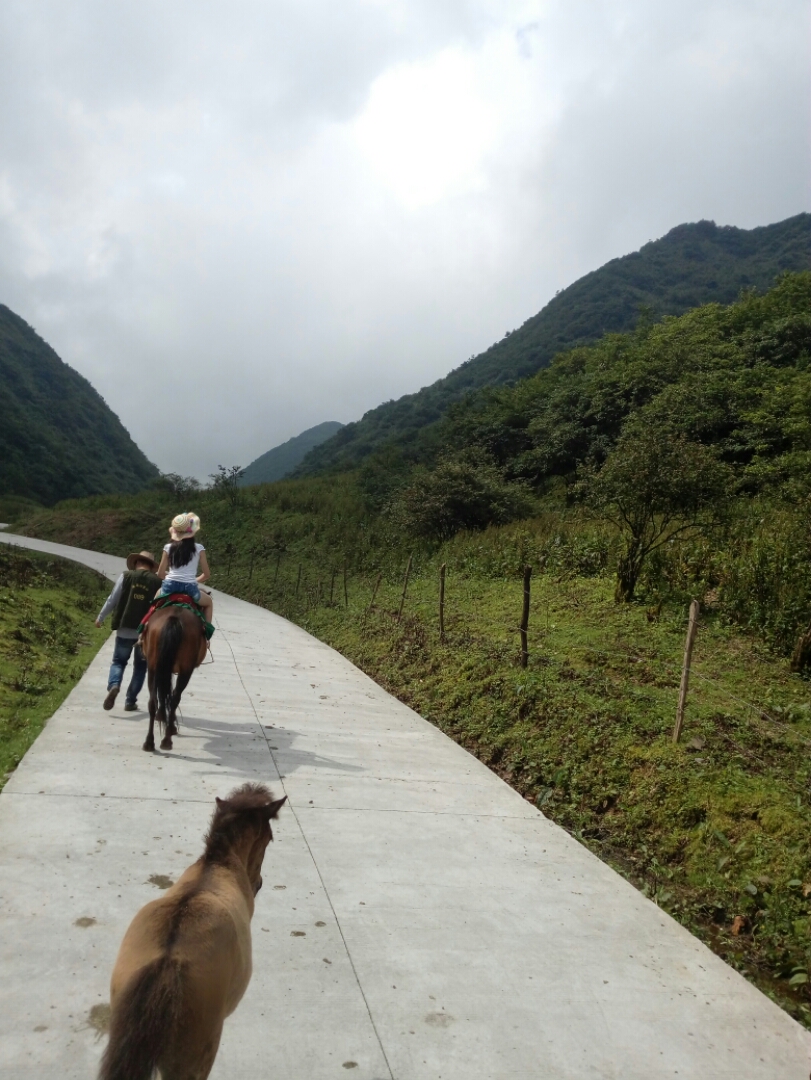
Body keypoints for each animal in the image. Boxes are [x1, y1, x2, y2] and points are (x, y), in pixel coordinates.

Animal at [139, 609, 204, 751]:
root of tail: (174, 618)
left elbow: (163, 693)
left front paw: (162, 716)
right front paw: (166, 719)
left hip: (153, 667)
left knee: (154, 701)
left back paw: (150, 742)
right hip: (184, 670)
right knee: (174, 698)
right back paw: (167, 738)